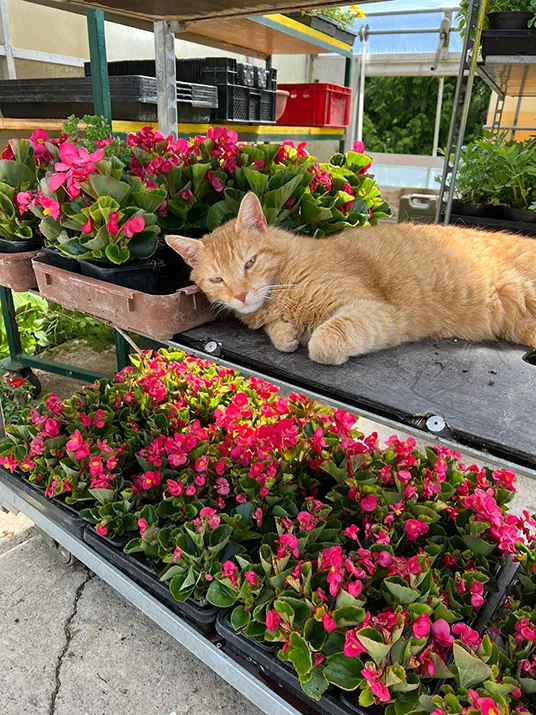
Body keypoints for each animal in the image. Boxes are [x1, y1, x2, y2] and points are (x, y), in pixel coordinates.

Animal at [165, 192, 536, 366]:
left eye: (250, 263)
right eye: (217, 280)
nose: (240, 296)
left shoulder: (377, 312)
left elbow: (324, 340)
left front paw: (314, 341)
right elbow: (278, 333)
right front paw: (285, 333)